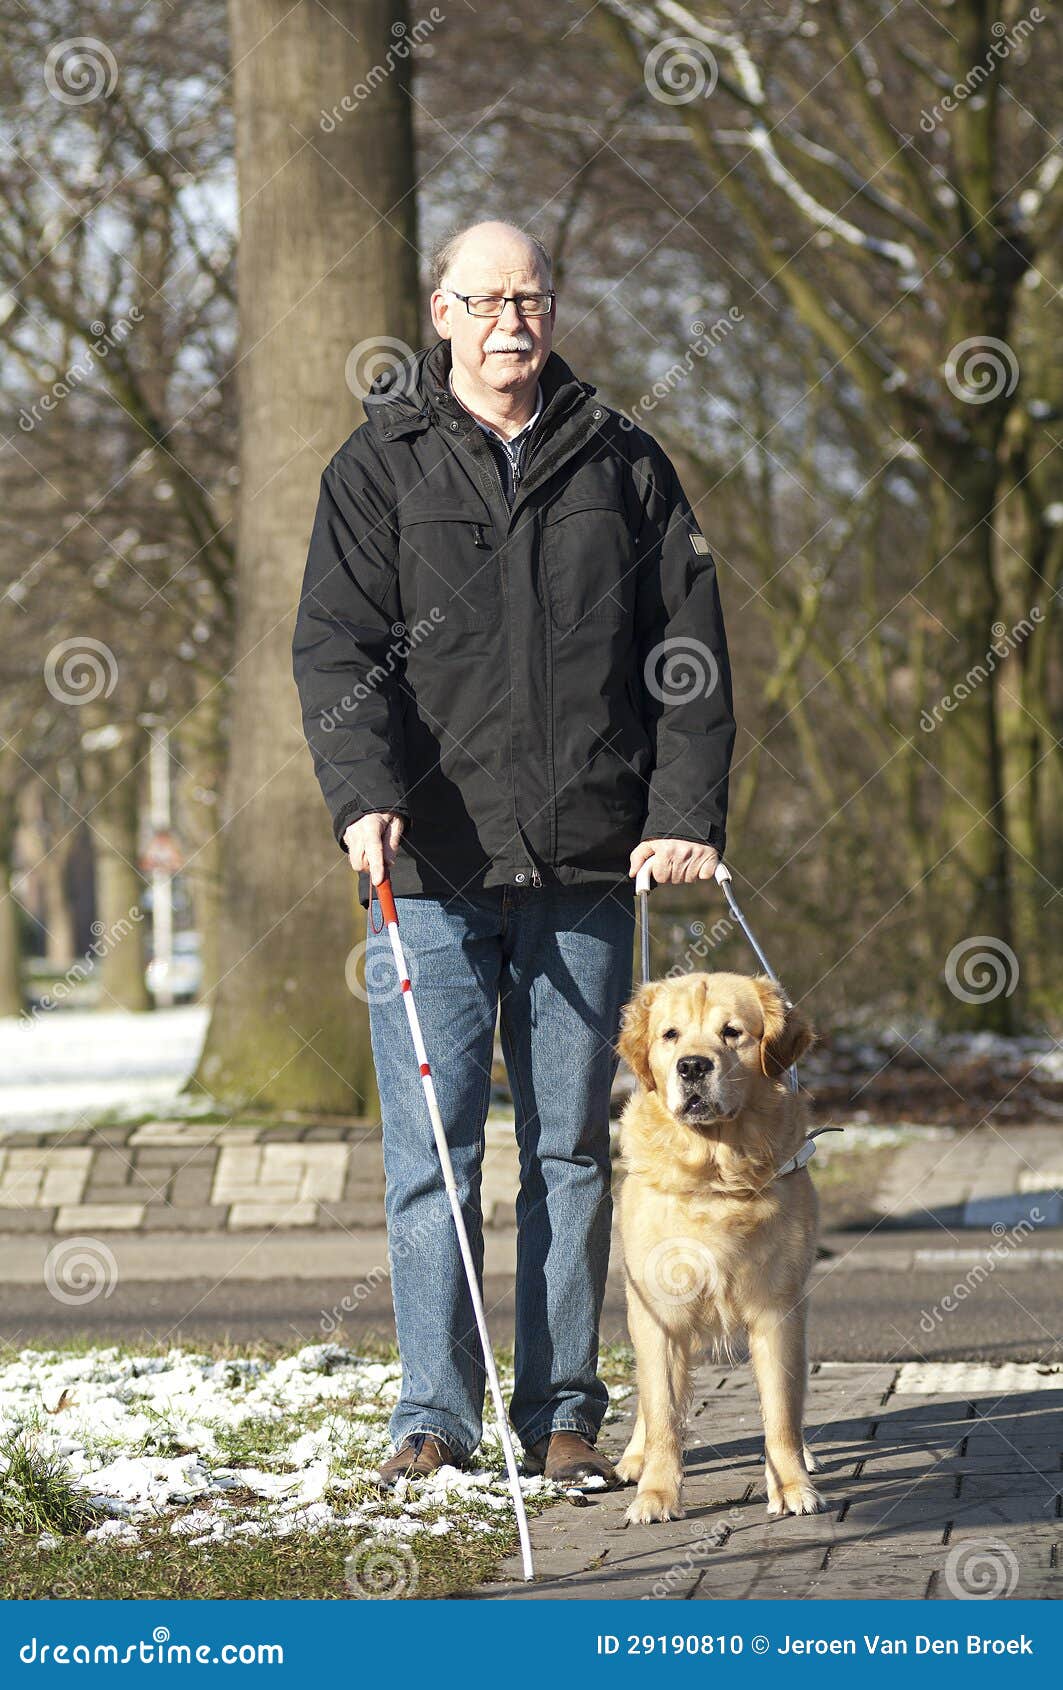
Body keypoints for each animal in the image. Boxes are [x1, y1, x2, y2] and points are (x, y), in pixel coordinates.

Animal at [615, 973, 821, 1527]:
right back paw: (634, 1460)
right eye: (670, 1035)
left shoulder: (778, 1310)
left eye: (732, 1033)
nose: (692, 1066)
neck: (713, 1170)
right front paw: (657, 1494)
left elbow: (781, 1412)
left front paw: (791, 1485)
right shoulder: (657, 1315)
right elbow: (663, 1411)